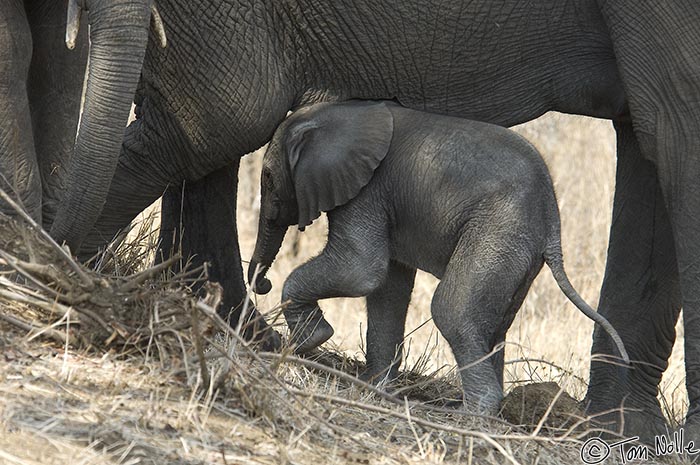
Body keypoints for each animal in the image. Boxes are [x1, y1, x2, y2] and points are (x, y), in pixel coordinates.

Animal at [247, 99, 628, 412]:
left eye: (267, 177)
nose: (262, 283)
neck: (337, 113)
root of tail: (552, 218)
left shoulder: (367, 191)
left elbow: (361, 270)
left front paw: (311, 340)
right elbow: (388, 287)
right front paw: (374, 388)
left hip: (498, 229)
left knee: (451, 309)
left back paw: (468, 414)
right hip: (519, 248)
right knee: (494, 325)